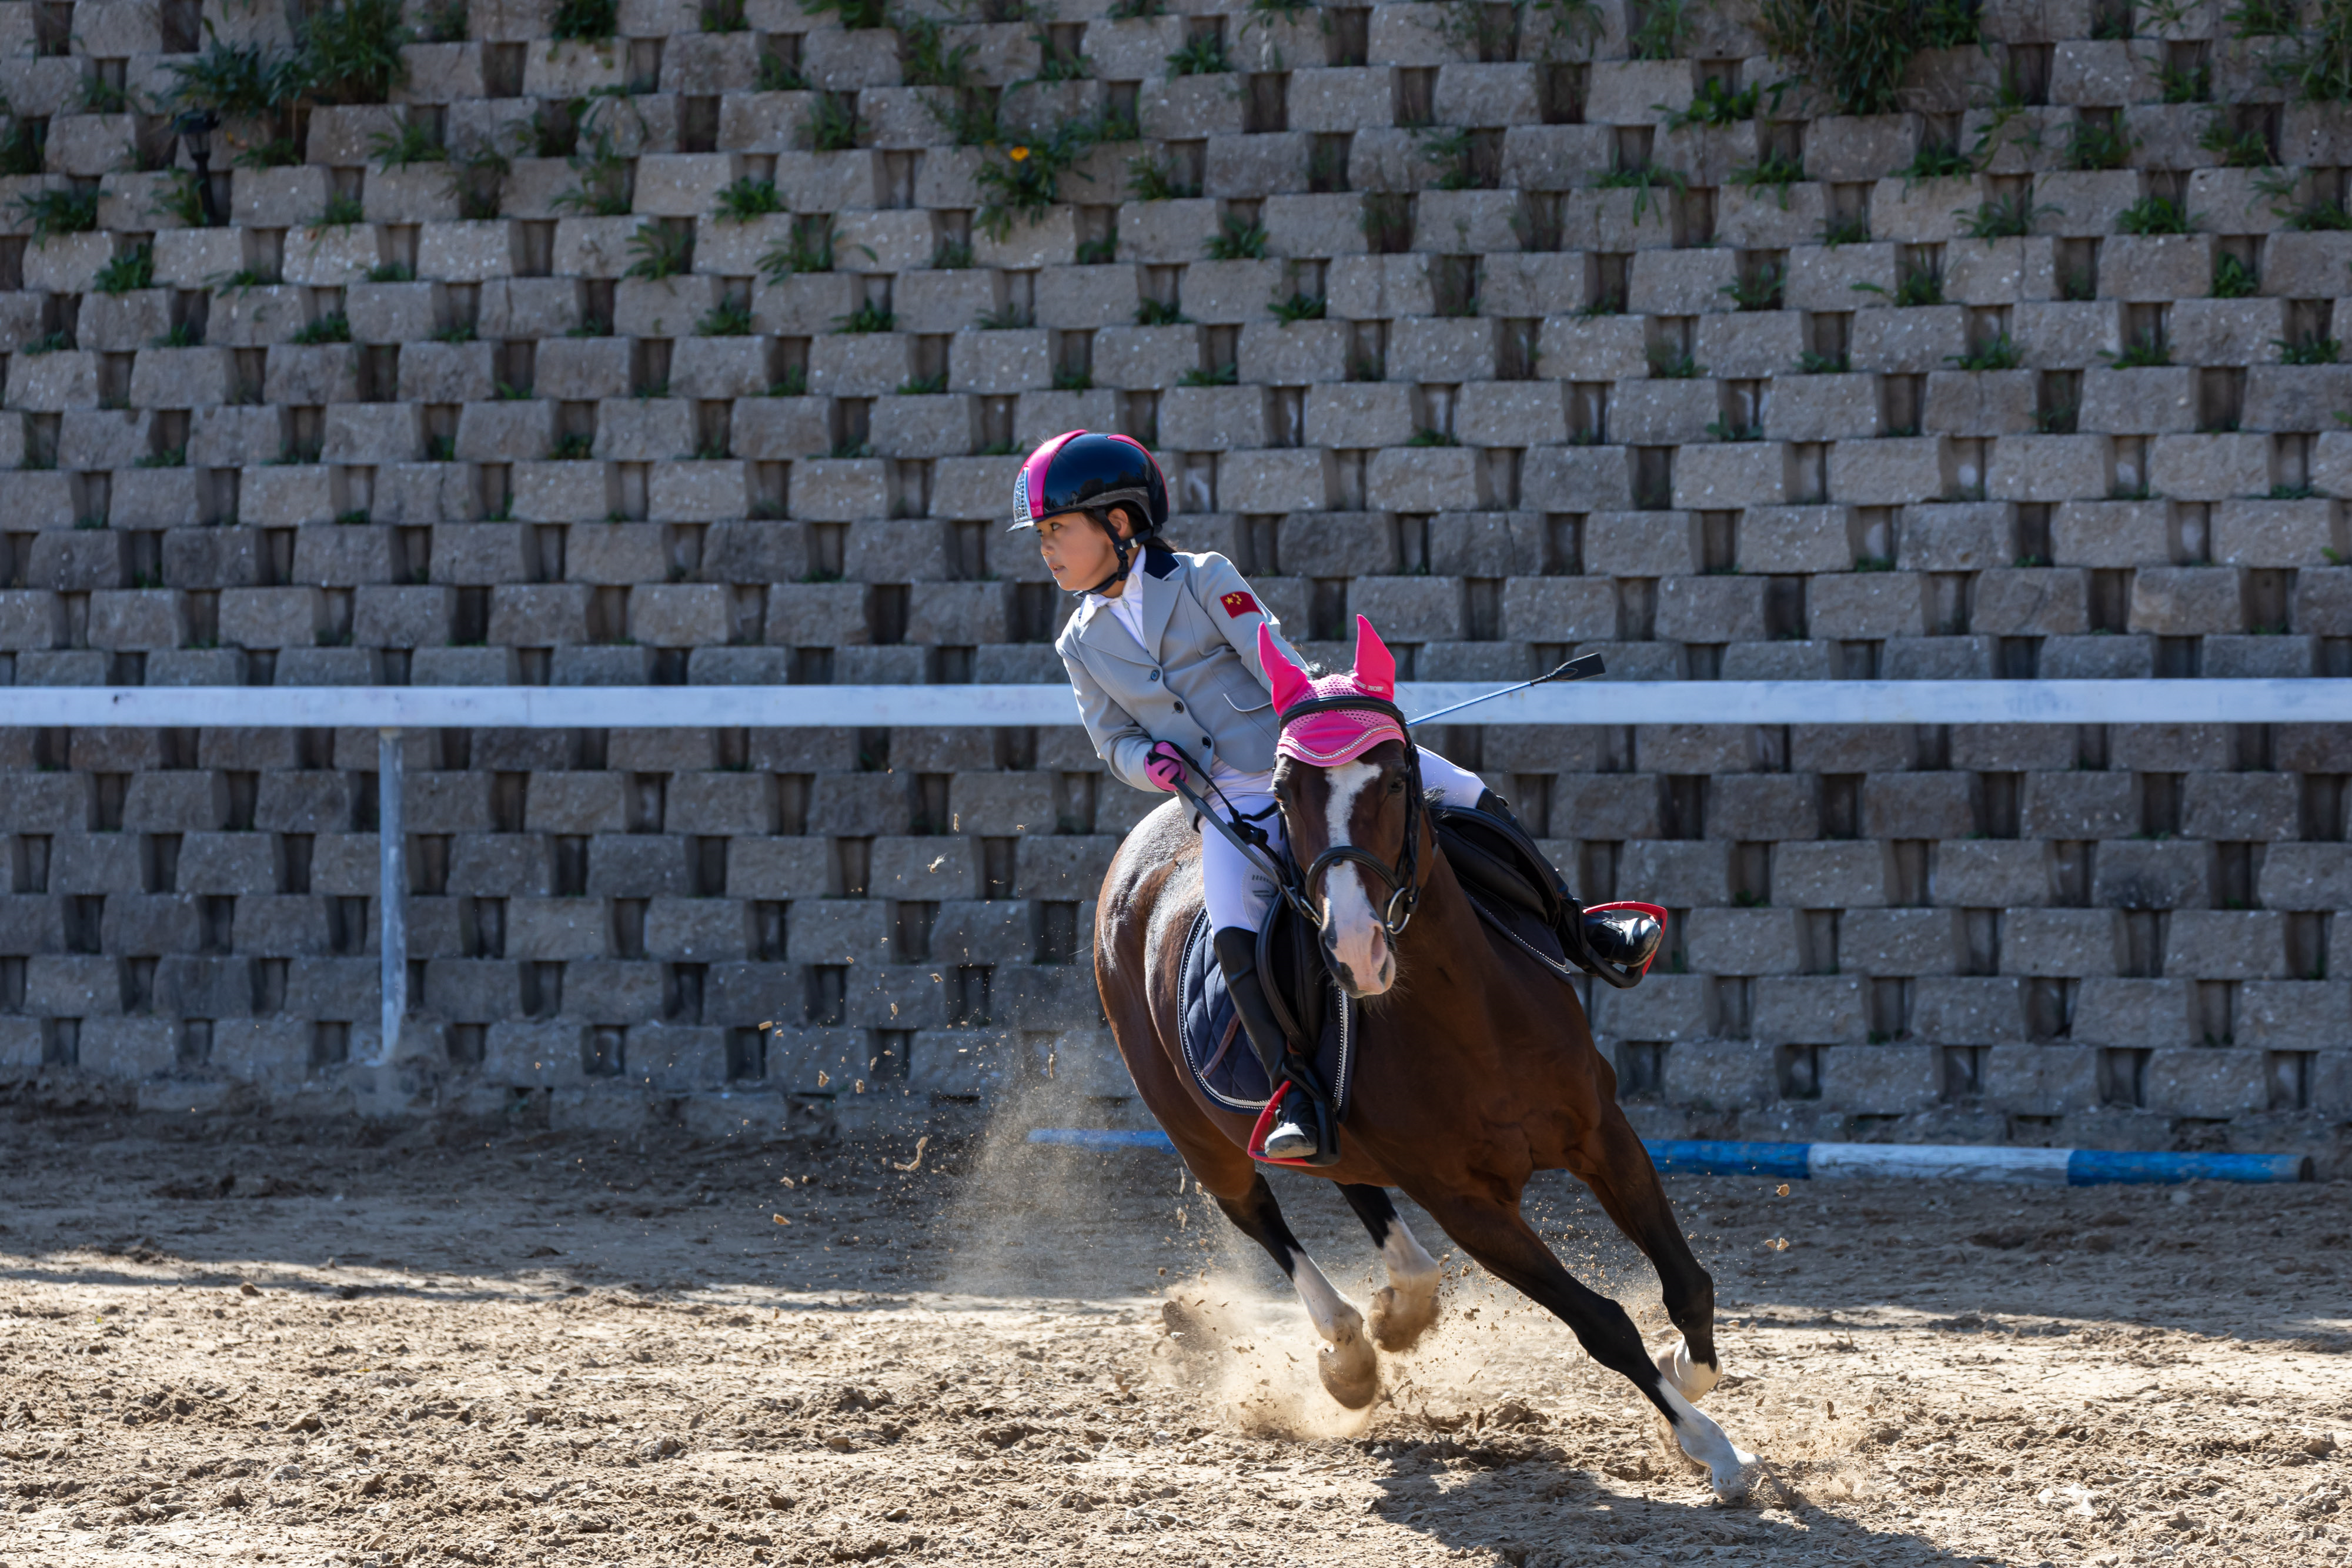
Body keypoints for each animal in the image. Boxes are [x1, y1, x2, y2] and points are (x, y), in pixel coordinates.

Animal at [1091, 630, 1759, 1495]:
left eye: (1398, 778)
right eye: (1284, 791)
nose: (1357, 951)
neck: (1474, 1019)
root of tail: (1146, 839)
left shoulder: (1603, 1133)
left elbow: (1689, 1282)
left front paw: (1688, 1373)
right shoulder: (1467, 1203)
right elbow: (1602, 1324)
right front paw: (1713, 1446)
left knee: (1354, 1179)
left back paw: (1397, 1312)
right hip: (1198, 1134)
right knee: (1262, 1213)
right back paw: (1348, 1353)